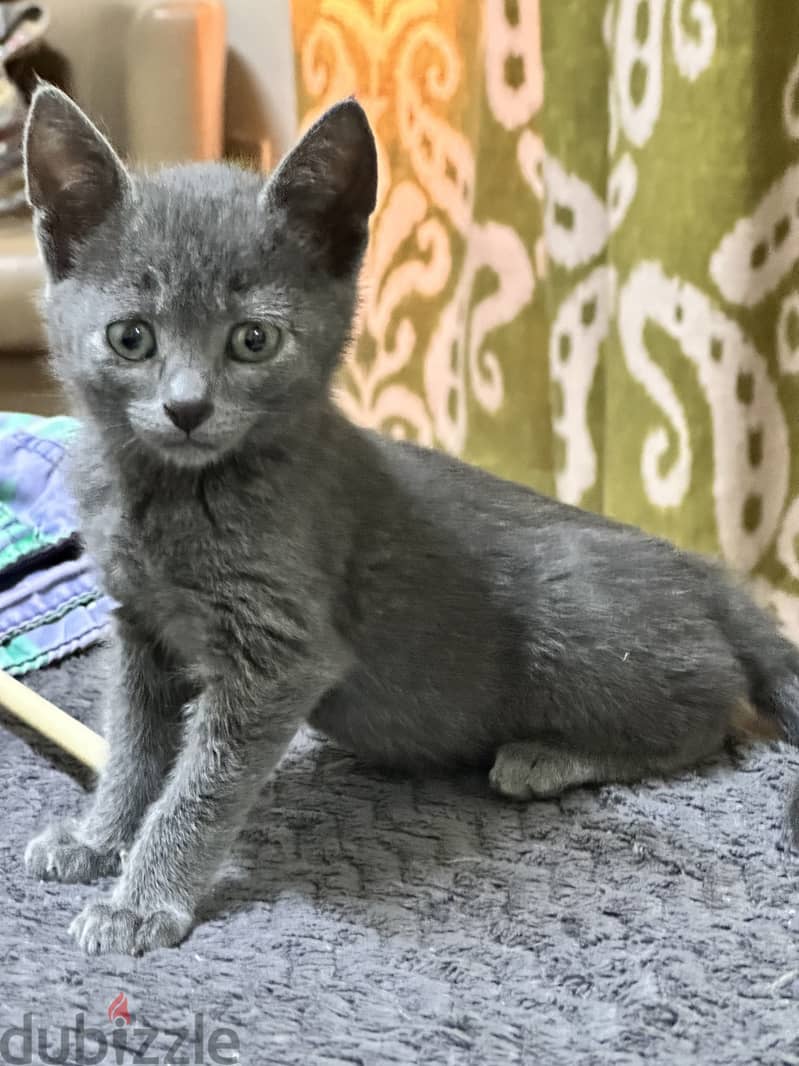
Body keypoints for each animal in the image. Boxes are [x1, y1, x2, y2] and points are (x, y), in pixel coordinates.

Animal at [21, 87, 799, 959]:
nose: (187, 408)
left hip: (576, 622)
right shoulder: (139, 630)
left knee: (715, 718)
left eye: (252, 339)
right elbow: (130, 746)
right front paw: (98, 838)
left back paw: (546, 758)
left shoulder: (279, 656)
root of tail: (699, 570)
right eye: (131, 336)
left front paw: (143, 898)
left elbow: (202, 784)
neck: (171, 494)